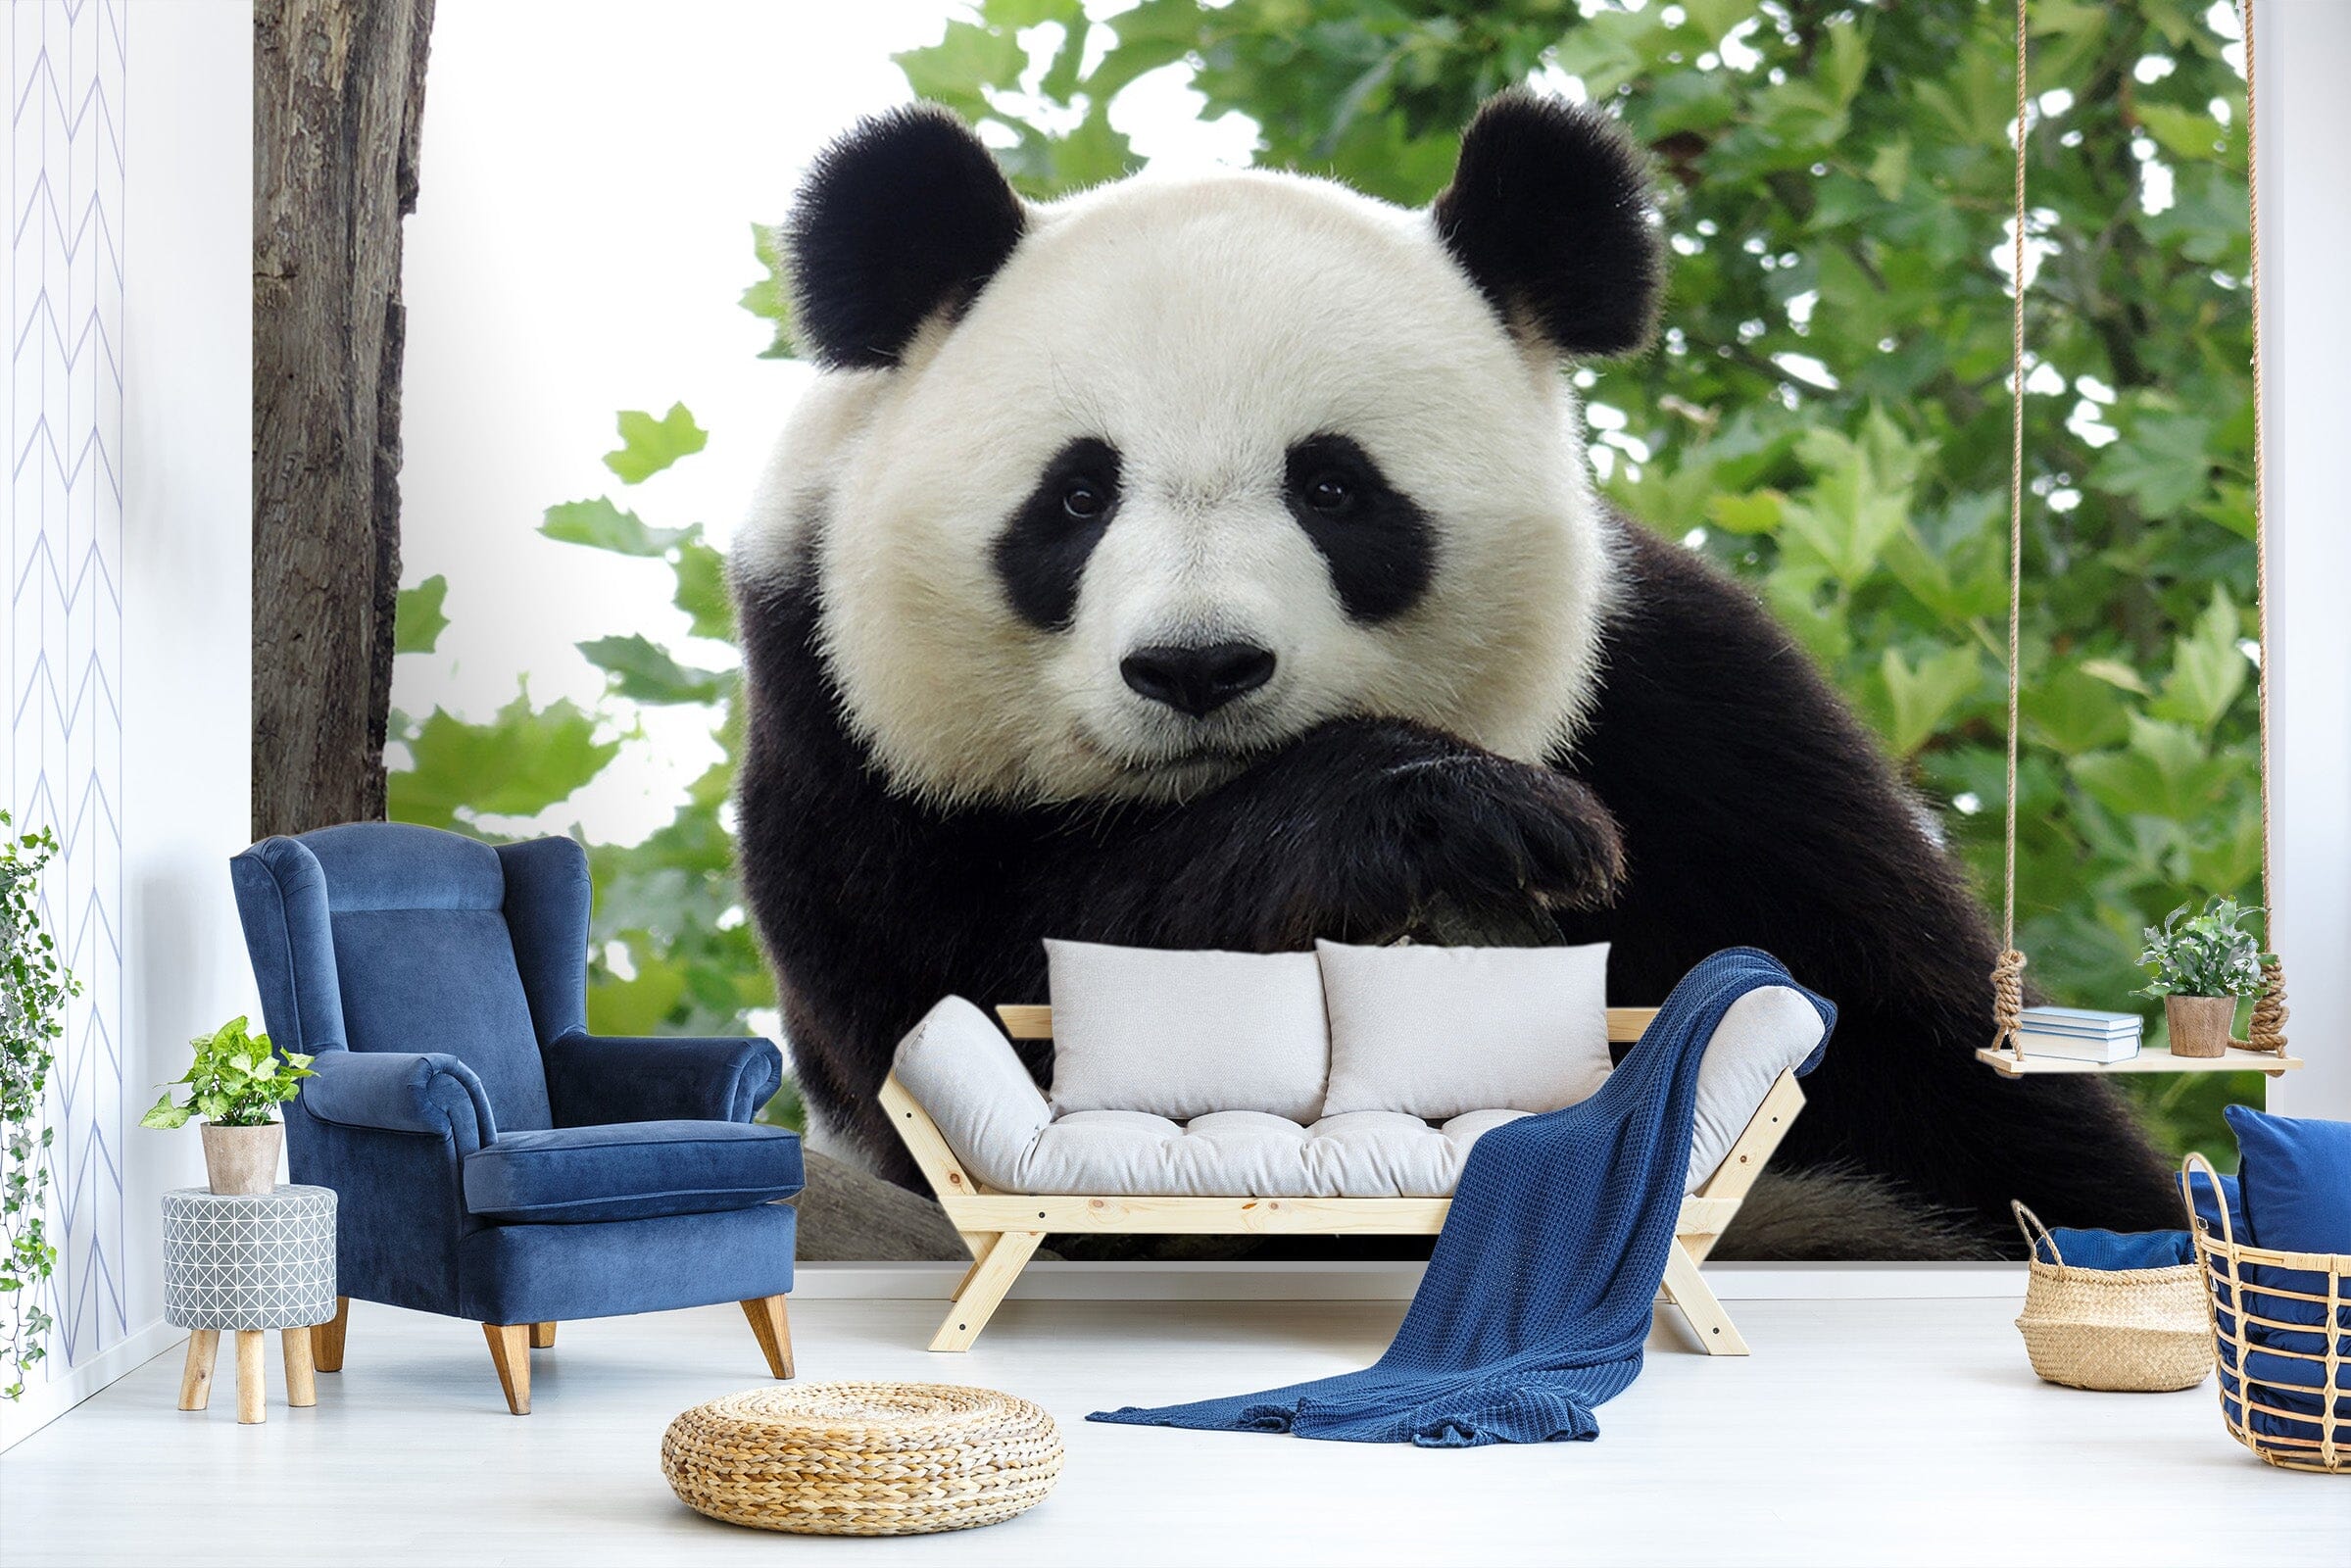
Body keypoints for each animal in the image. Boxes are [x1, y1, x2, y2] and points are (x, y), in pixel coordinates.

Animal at [730, 91, 2183, 1258]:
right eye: (1076, 497)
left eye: (1333, 488)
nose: (1197, 666)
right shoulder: (835, 730)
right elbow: (982, 983)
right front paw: (1432, 815)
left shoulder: (1698, 720)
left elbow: (1931, 1062)